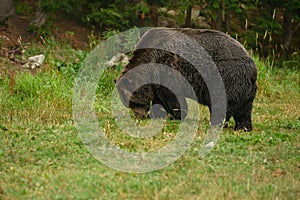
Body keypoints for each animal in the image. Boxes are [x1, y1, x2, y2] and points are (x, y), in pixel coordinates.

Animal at [116, 28, 256, 131]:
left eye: (133, 102)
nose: (139, 116)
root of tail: (253, 67)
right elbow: (159, 99)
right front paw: (158, 114)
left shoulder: (166, 65)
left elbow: (173, 95)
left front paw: (177, 115)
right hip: (246, 89)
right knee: (244, 109)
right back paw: (243, 127)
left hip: (226, 78)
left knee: (222, 103)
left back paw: (215, 123)